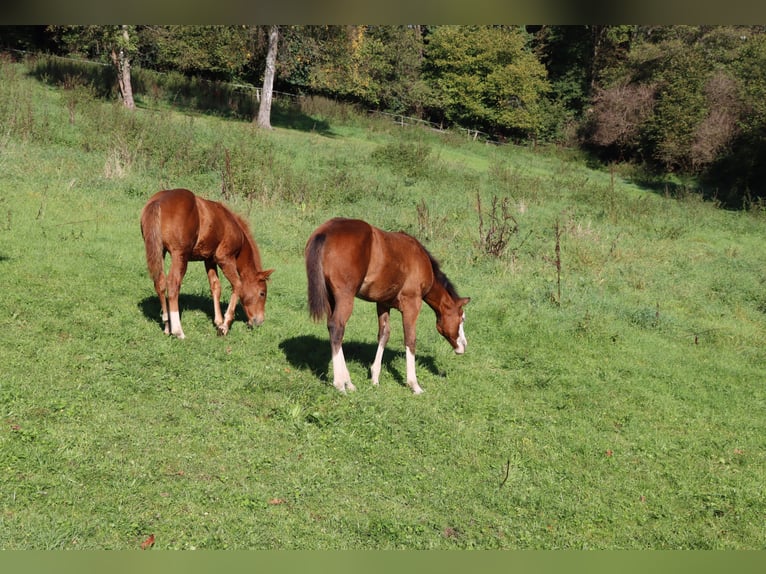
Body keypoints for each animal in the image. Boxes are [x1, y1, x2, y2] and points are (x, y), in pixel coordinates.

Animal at [140, 189, 274, 340]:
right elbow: (238, 285)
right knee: (173, 284)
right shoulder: (225, 258)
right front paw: (224, 326)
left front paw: (218, 321)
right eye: (262, 293)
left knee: (160, 283)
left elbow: (215, 286)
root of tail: (158, 201)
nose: (259, 321)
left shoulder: (209, 260)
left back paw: (167, 326)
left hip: (160, 251)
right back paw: (178, 331)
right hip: (179, 255)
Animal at [304, 217, 472, 396]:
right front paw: (414, 385)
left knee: (334, 329)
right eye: (462, 318)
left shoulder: (383, 303)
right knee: (337, 327)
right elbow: (410, 339)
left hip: (331, 299)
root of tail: (326, 231)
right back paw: (340, 384)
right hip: (345, 297)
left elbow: (384, 335)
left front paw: (375, 378)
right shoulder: (412, 303)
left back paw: (349, 382)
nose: (463, 346)